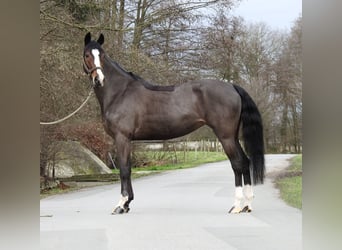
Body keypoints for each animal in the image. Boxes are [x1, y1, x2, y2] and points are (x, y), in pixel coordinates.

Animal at [83, 32, 264, 214]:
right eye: (87, 55)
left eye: (102, 55)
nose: (99, 79)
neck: (120, 92)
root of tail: (232, 87)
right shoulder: (127, 140)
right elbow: (128, 168)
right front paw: (127, 204)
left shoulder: (122, 138)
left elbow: (124, 169)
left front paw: (121, 205)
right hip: (233, 136)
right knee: (245, 162)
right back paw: (247, 205)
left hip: (225, 137)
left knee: (237, 164)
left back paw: (236, 205)